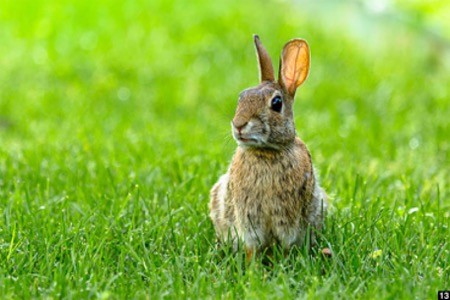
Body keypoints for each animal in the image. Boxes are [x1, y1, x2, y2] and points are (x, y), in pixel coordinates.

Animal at [207, 34, 326, 260]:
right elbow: (251, 247)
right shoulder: (247, 218)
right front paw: (252, 267)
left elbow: (287, 245)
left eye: (277, 103)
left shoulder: (288, 219)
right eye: (241, 97)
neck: (267, 152)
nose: (238, 124)